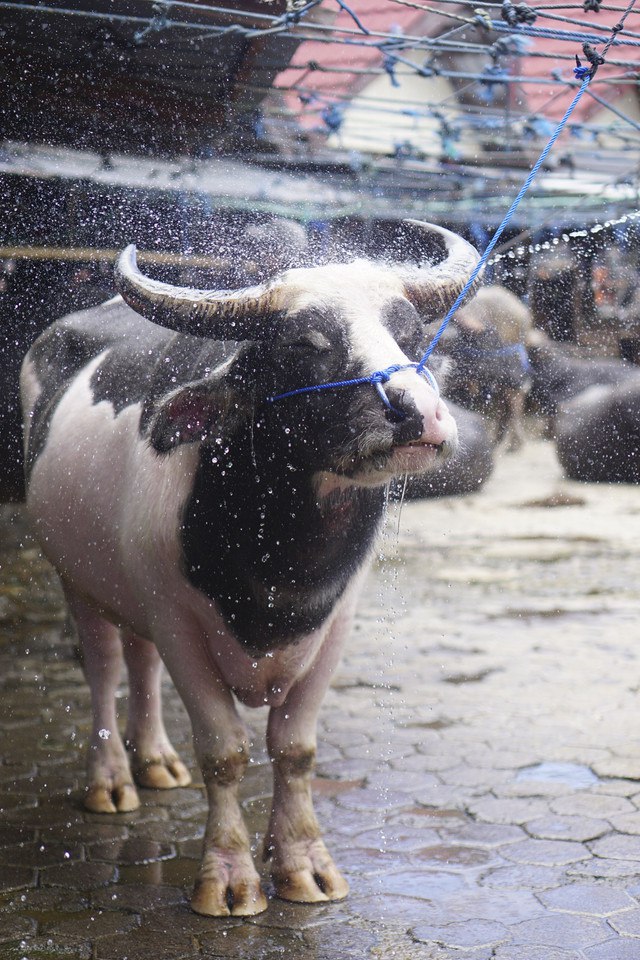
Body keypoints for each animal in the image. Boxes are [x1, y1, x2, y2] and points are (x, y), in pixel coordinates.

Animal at [20, 221, 480, 920]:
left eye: (408, 333)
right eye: (303, 343)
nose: (419, 414)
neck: (283, 561)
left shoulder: (335, 624)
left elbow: (293, 749)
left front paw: (304, 865)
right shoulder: (179, 622)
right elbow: (226, 752)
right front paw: (230, 877)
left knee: (140, 663)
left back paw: (157, 761)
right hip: (77, 578)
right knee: (104, 668)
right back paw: (112, 781)